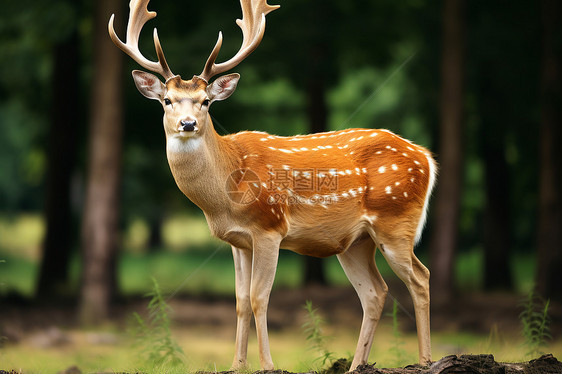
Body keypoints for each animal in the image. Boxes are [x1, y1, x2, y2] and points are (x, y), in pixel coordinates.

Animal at [108, 0, 434, 370]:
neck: (224, 197)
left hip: (396, 221)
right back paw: (356, 366)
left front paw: (267, 364)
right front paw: (237, 365)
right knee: (374, 292)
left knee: (420, 278)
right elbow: (239, 301)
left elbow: (258, 297)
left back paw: (425, 360)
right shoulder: (238, 241)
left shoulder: (269, 228)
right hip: (355, 242)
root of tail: (426, 156)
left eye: (206, 101)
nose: (188, 123)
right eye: (167, 100)